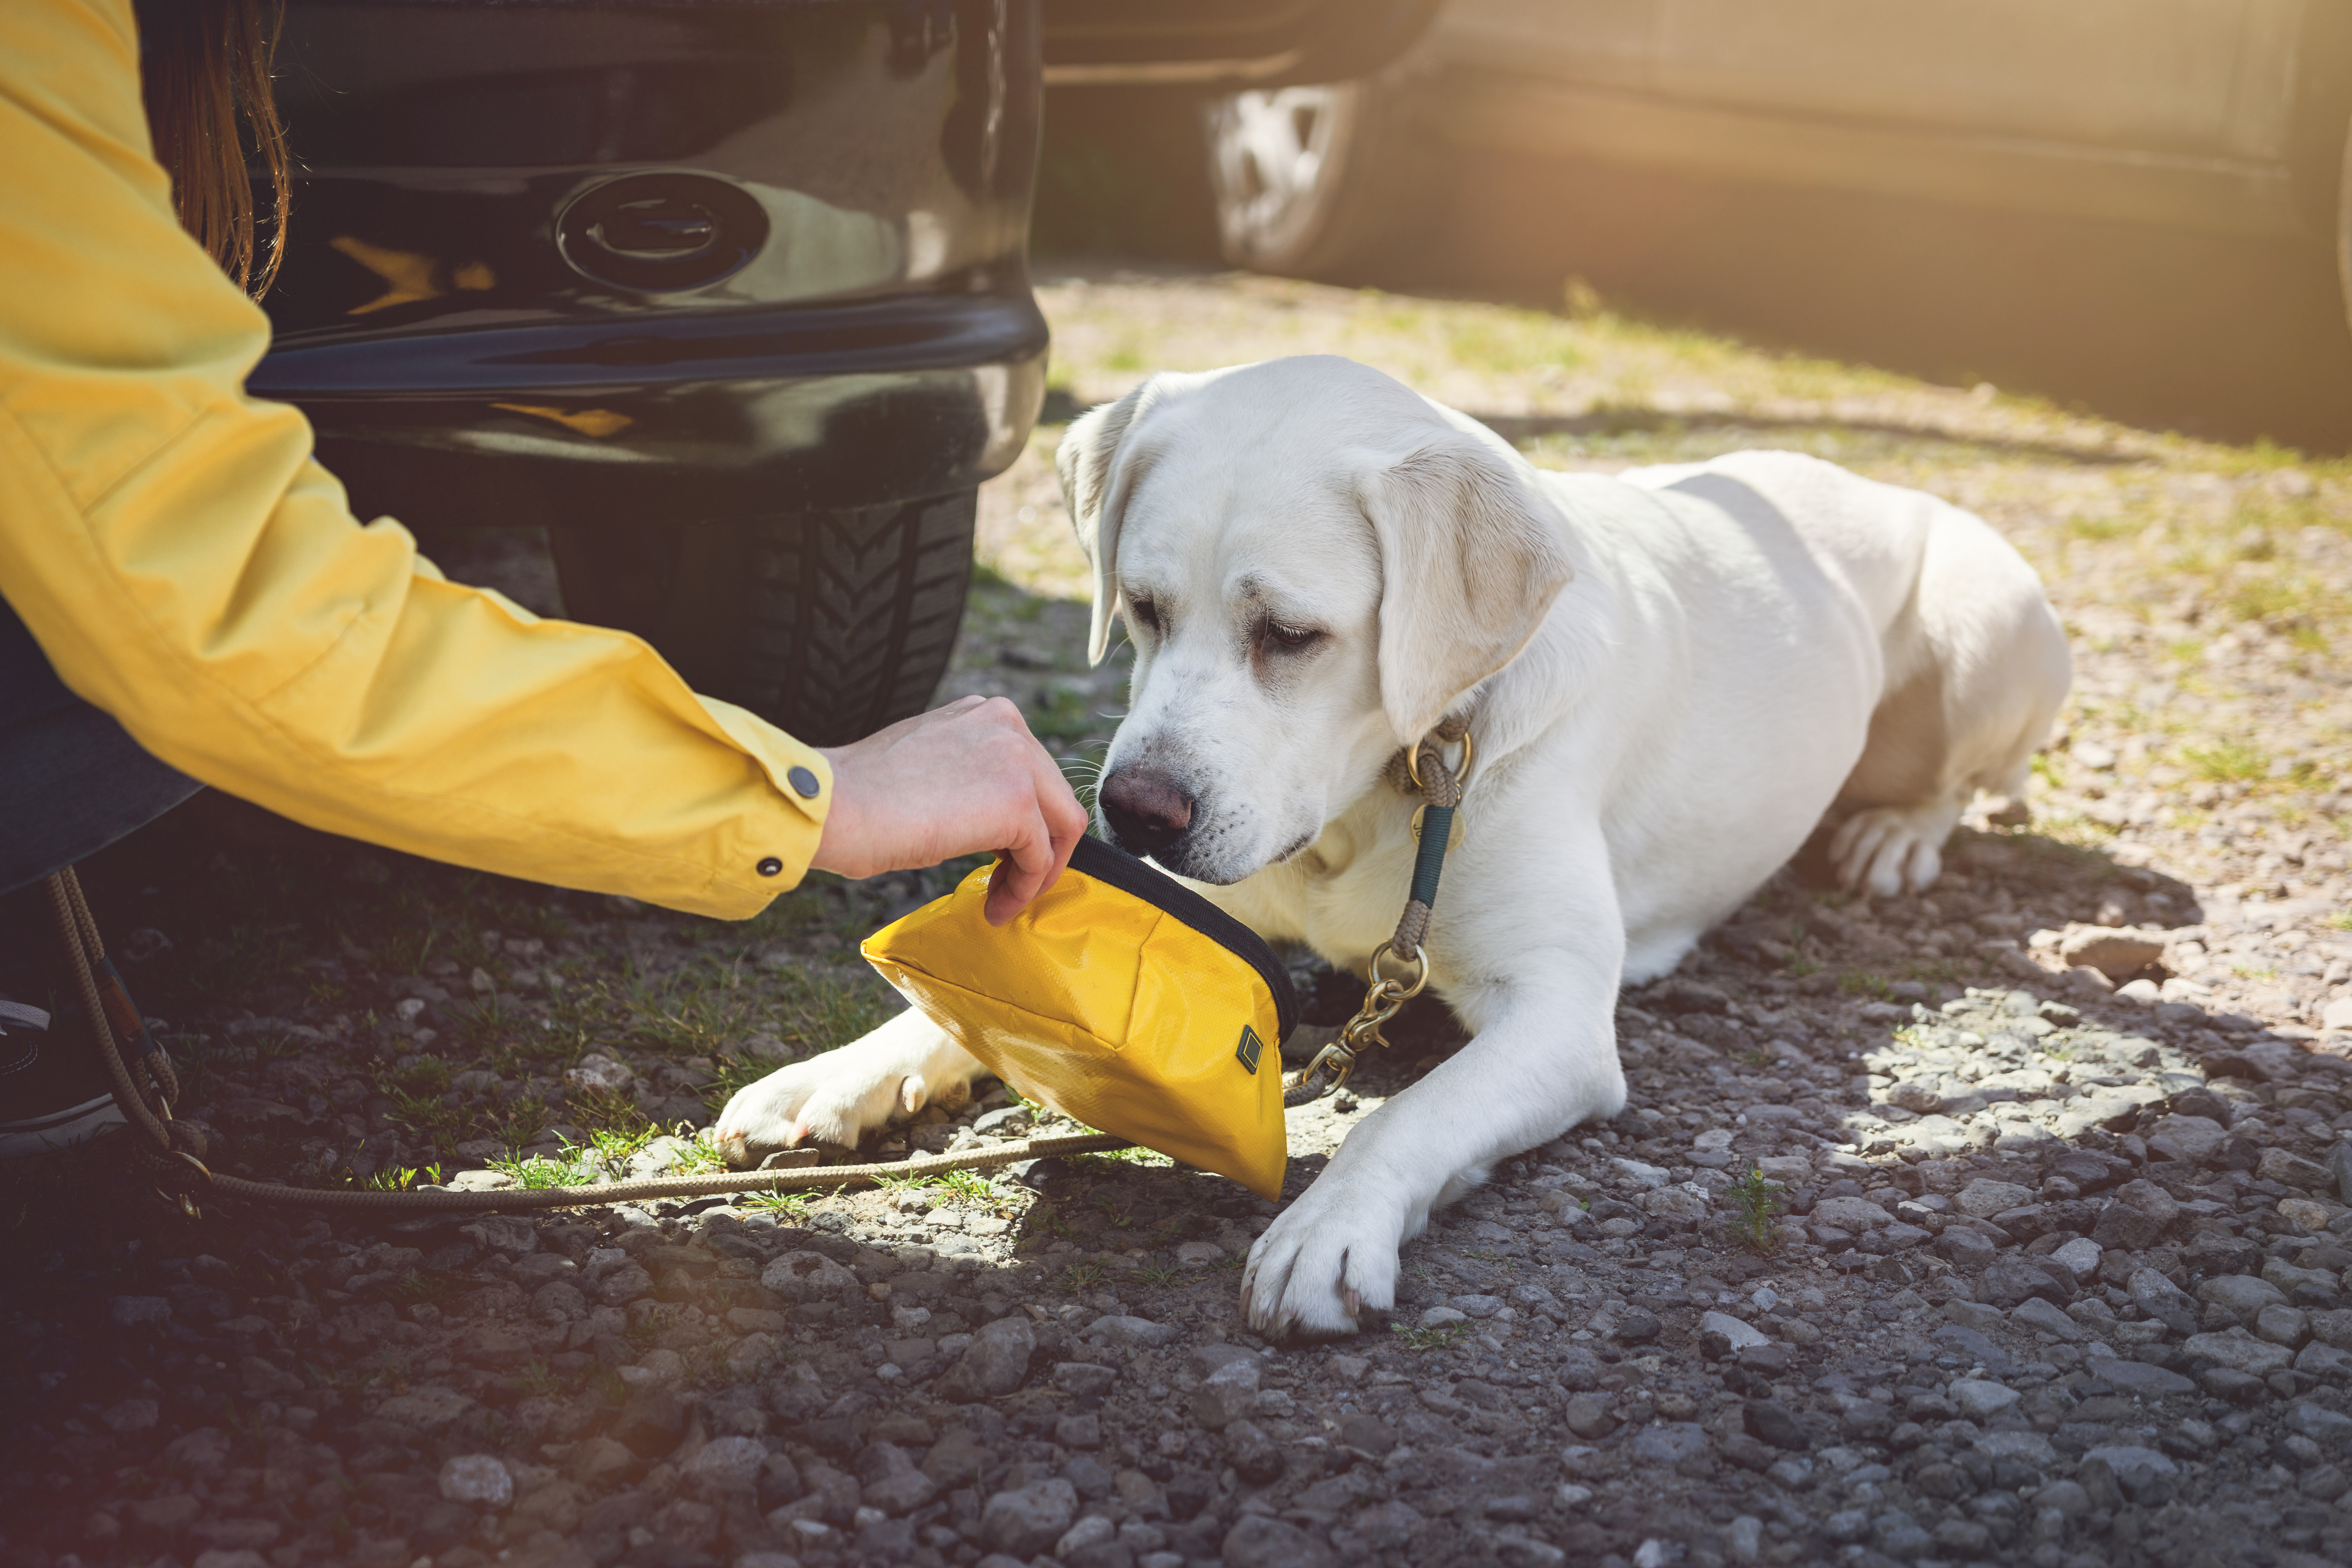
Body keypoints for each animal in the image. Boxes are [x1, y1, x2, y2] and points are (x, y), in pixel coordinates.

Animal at [710, 352, 2060, 1335]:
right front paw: (839, 1072)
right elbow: (945, 1012)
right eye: (1141, 609)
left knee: (1968, 780)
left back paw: (1894, 835)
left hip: (1985, 628)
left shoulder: (1558, 1018)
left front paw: (1328, 1228)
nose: (1137, 813)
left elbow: (1401, 1116)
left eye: (1291, 636)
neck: (1386, 793)